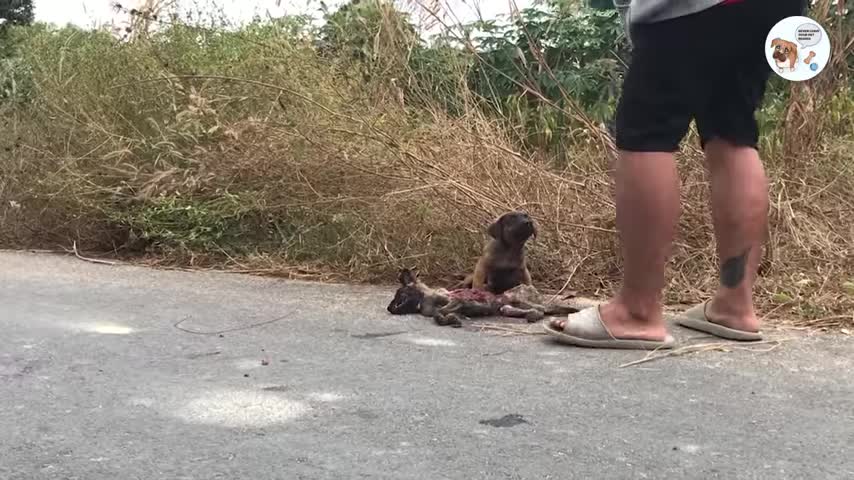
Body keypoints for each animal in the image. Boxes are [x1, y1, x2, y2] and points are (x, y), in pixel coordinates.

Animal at [386, 268, 580, 328]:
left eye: (400, 294)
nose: (389, 308)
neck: (423, 297)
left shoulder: (456, 300)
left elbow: (439, 312)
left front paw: (450, 318)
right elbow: (439, 314)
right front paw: (451, 318)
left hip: (518, 298)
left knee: (543, 309)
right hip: (507, 307)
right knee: (533, 310)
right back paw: (531, 315)